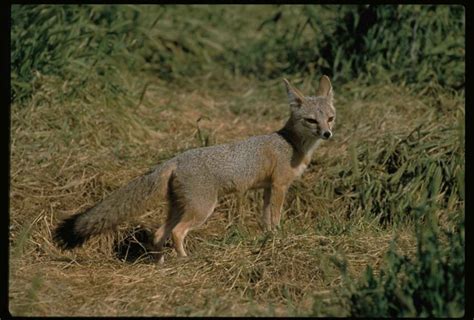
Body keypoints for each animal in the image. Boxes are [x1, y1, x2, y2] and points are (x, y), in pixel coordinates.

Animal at [53, 75, 336, 262]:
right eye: (311, 120)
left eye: (330, 118)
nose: (327, 134)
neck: (292, 144)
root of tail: (177, 158)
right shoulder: (279, 186)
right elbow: (275, 217)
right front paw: (278, 237)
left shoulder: (268, 188)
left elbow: (265, 219)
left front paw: (269, 240)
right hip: (202, 210)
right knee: (177, 232)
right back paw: (185, 259)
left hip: (180, 207)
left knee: (159, 233)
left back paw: (162, 262)